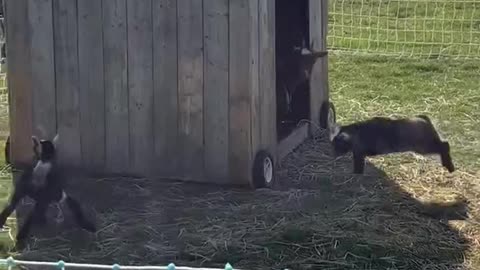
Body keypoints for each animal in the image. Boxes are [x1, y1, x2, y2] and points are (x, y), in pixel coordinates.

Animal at [328, 114, 456, 174]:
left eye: (337, 144)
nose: (333, 154)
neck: (353, 134)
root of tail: (423, 118)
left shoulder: (359, 153)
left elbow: (358, 167)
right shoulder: (358, 154)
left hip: (424, 146)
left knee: (445, 145)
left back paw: (449, 166)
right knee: (444, 144)